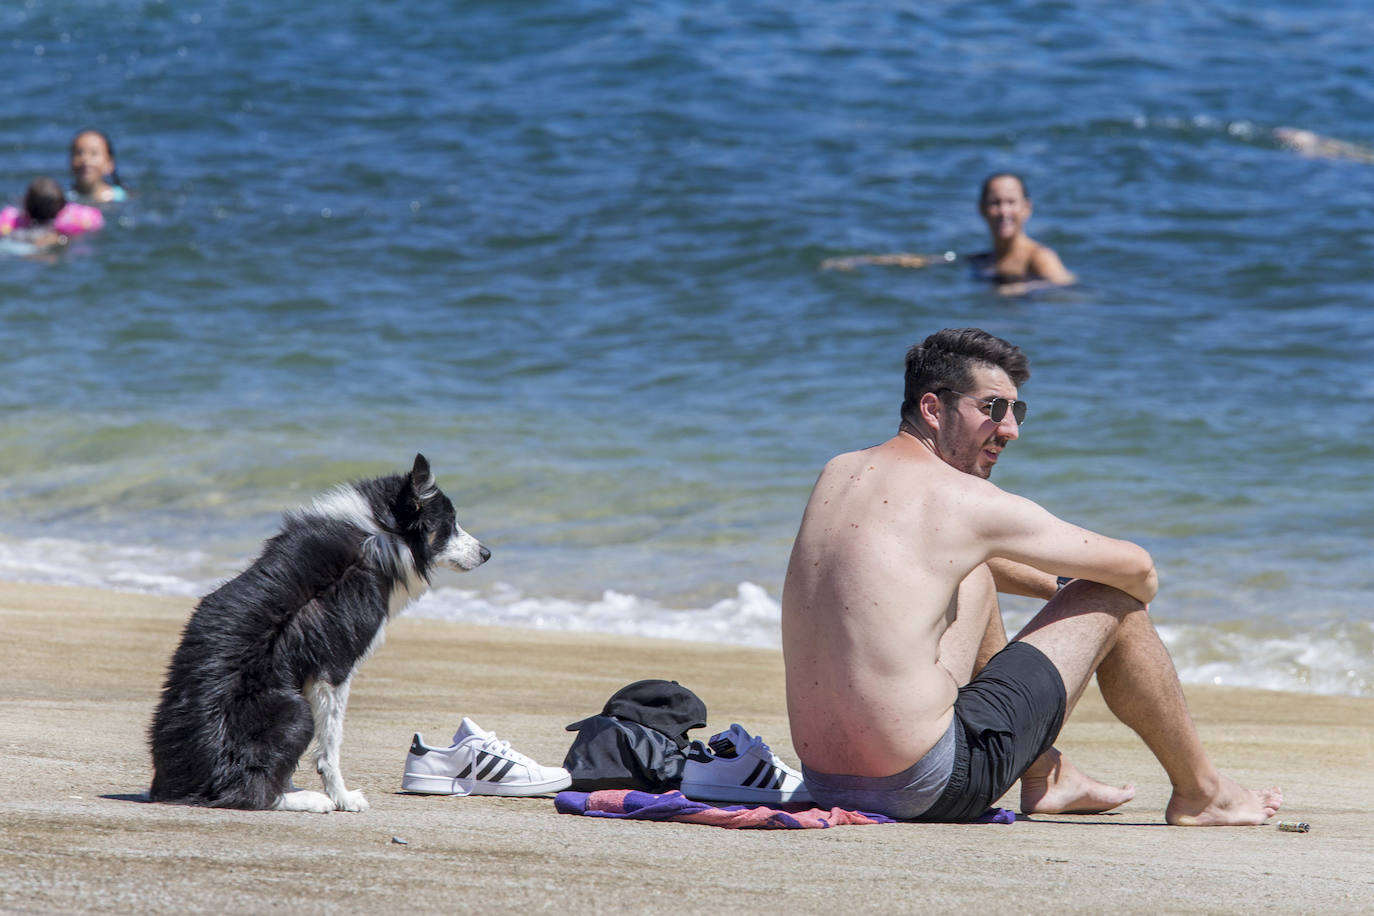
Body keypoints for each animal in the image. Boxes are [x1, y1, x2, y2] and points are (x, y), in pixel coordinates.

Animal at [149, 455, 489, 813]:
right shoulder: (335, 668)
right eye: (450, 523)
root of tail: (177, 787)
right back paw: (308, 800)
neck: (381, 530)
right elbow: (331, 744)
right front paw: (343, 797)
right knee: (251, 793)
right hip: (296, 712)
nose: (487, 553)